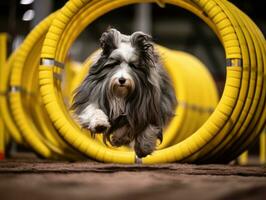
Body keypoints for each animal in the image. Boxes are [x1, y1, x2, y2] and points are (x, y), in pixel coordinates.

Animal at [71, 27, 178, 158]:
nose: (122, 80)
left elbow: (146, 127)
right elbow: (94, 110)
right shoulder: (92, 97)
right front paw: (100, 124)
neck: (120, 94)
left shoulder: (148, 109)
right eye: (115, 63)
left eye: (132, 65)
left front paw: (144, 147)